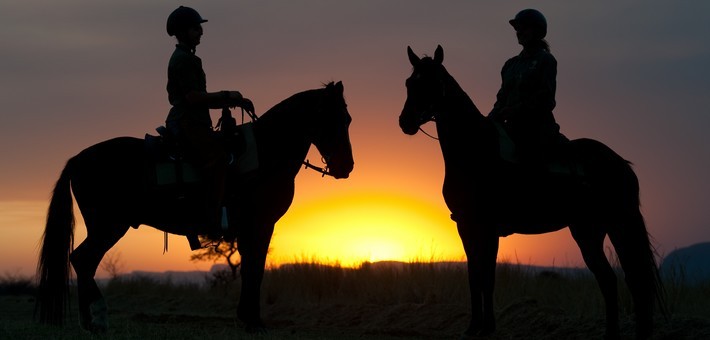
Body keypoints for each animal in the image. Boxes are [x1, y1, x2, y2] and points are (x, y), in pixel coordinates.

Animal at [36, 80, 356, 332]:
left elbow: (251, 268)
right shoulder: (260, 224)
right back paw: (98, 319)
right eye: (335, 118)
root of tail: (77, 159)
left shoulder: (250, 229)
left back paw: (89, 322)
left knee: (83, 262)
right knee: (83, 260)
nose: (346, 167)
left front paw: (246, 318)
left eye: (348, 119)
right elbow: (255, 270)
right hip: (109, 226)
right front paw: (253, 321)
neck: (267, 153)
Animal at [400, 45, 668, 340]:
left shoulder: (488, 227)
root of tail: (620, 163)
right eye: (410, 82)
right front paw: (473, 327)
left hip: (615, 225)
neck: (475, 151)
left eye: (432, 83)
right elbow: (474, 276)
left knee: (630, 277)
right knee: (612, 279)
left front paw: (488, 327)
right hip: (591, 230)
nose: (406, 122)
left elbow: (487, 277)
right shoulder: (466, 226)